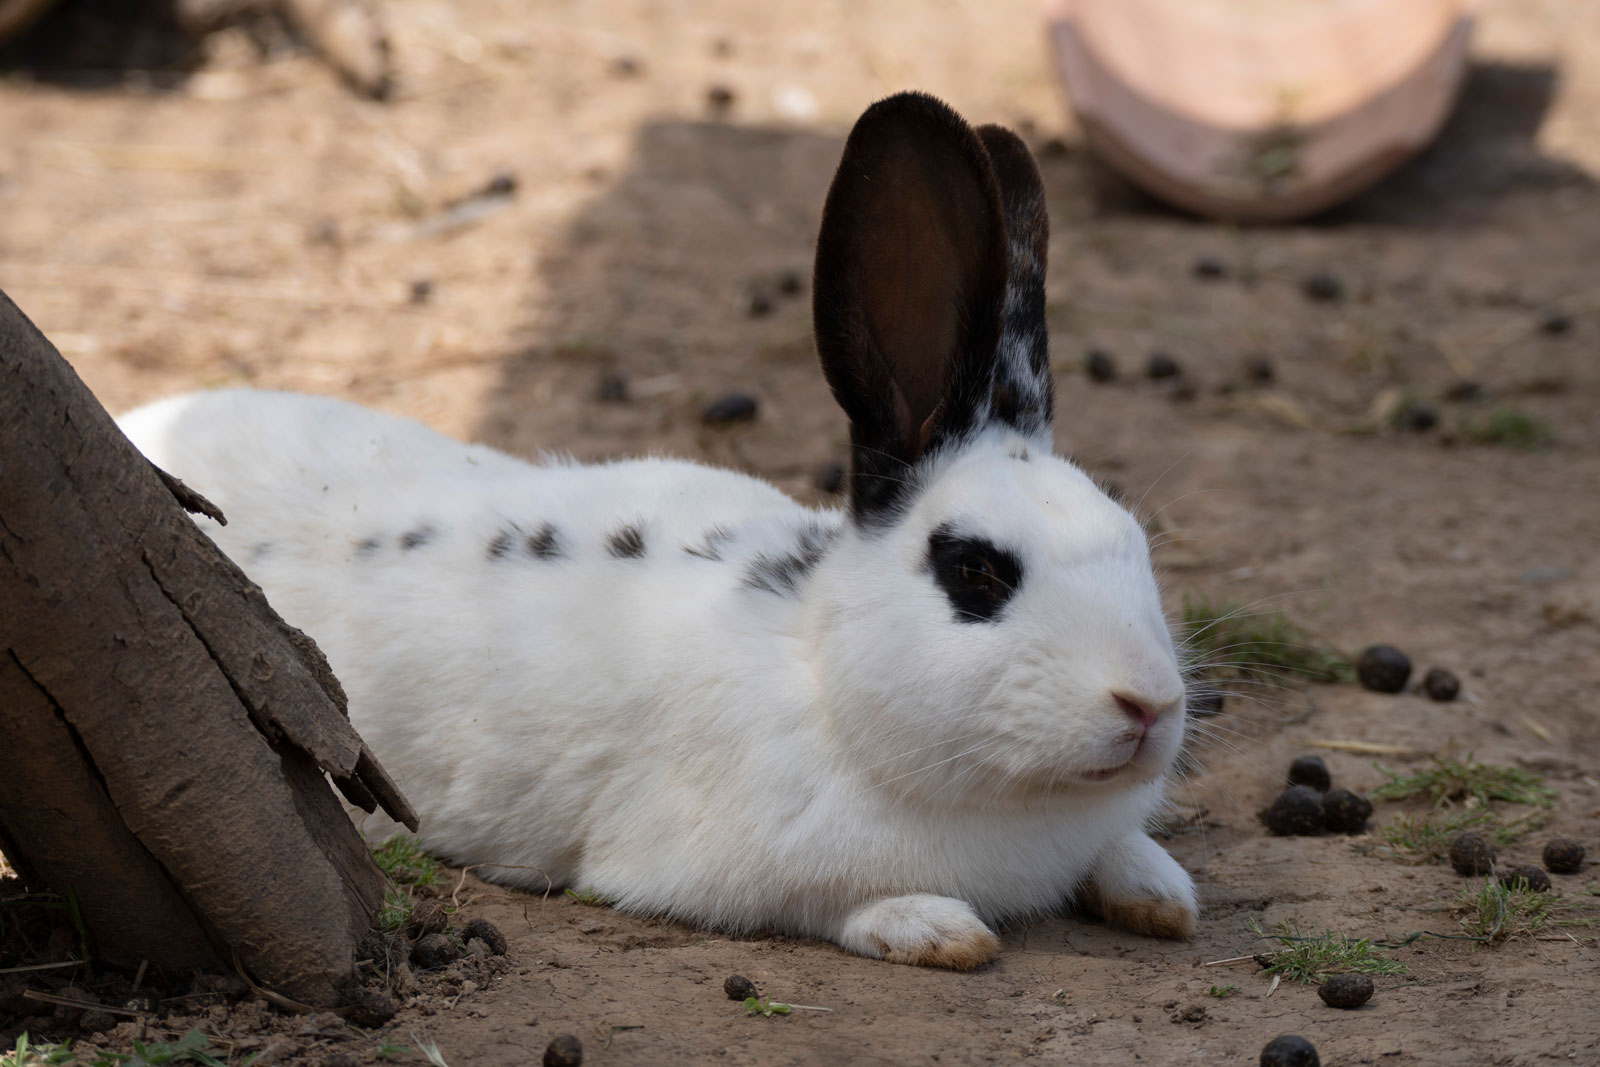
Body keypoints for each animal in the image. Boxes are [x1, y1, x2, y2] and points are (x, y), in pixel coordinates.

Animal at [118, 95, 1196, 972]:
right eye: (974, 571)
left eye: (1136, 545)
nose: (1149, 705)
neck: (822, 667)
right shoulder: (726, 868)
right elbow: (842, 905)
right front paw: (938, 929)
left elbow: (1123, 852)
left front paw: (1161, 893)